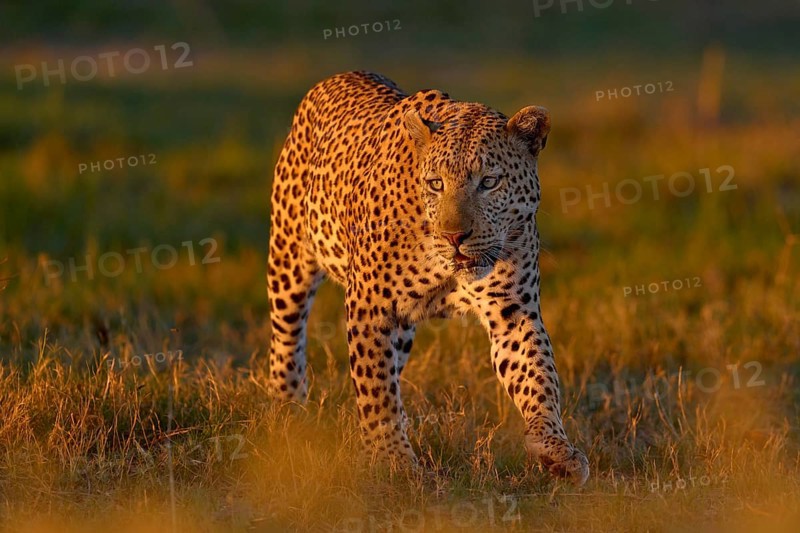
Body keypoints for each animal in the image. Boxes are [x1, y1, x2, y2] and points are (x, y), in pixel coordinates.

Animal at [267, 71, 589, 485]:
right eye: (436, 183)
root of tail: (340, 76)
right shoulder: (369, 305)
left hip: (402, 327)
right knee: (288, 337)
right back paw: (288, 412)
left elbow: (538, 375)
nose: (455, 236)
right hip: (289, 258)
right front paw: (392, 460)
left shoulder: (514, 313)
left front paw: (554, 447)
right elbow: (374, 386)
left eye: (489, 182)